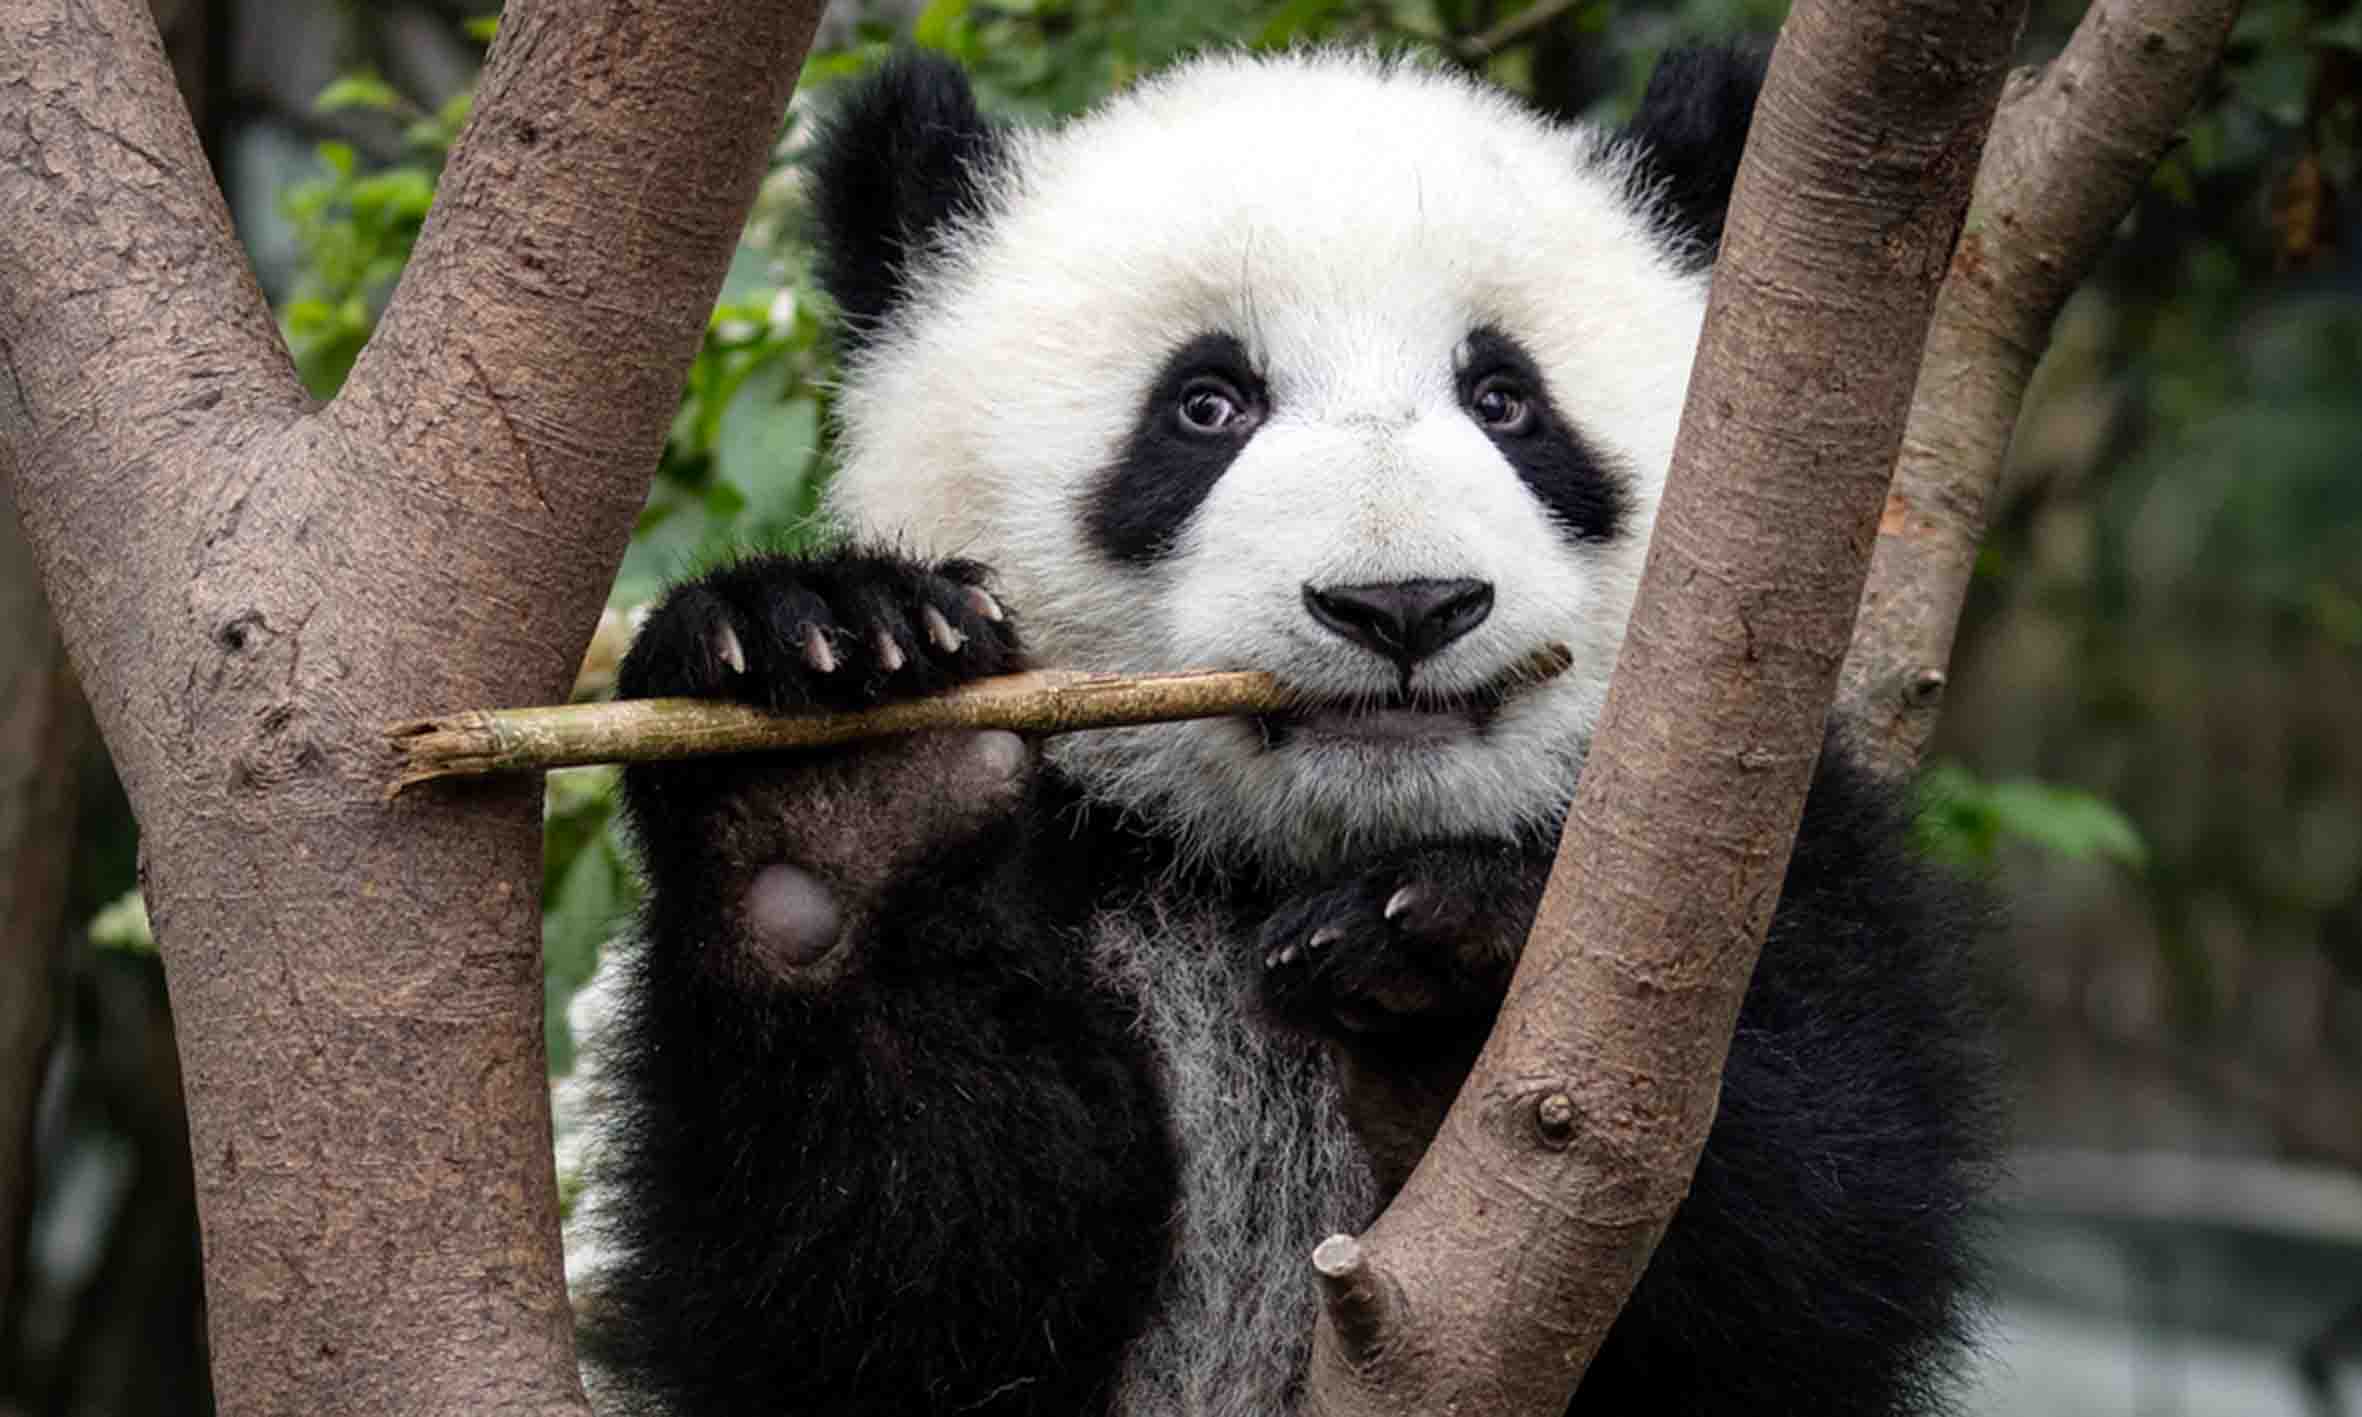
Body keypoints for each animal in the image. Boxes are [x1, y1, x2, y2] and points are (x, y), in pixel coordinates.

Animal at [581, 43, 1997, 1417]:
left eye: (1506, 400)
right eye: (1207, 405)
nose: (1404, 604)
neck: (1283, 861)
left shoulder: (1760, 847)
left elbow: (1814, 1241)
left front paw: (1443, 964)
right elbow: (883, 1283)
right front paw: (848, 774)